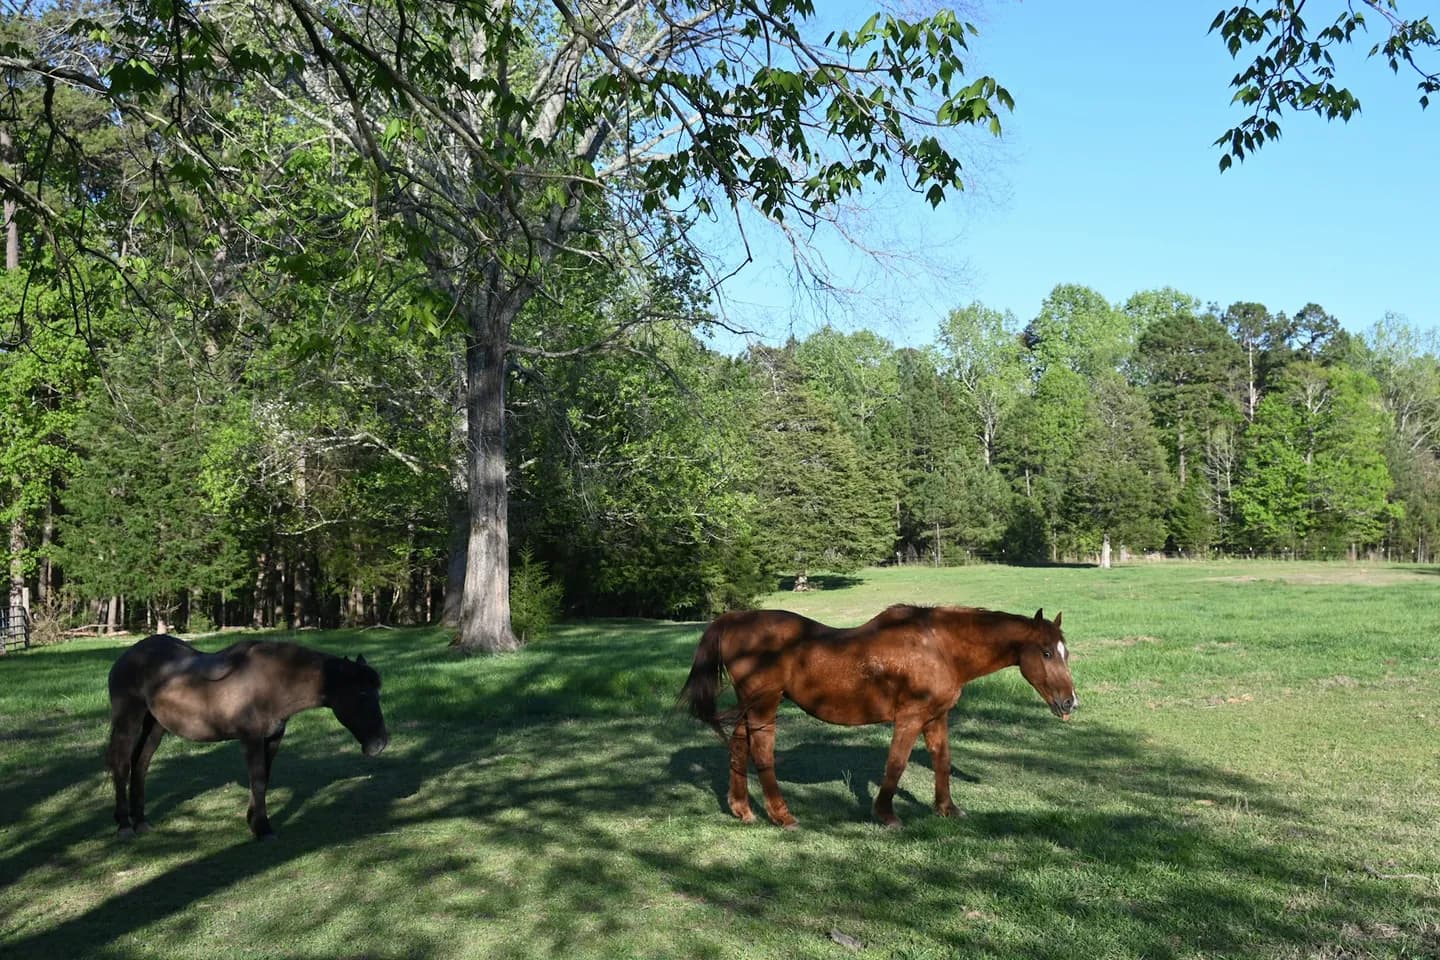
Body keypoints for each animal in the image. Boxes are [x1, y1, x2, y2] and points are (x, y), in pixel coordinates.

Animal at [105, 634, 389, 841]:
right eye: (362, 694)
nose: (379, 743)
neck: (274, 683)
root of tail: (127, 656)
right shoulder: (251, 739)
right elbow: (259, 780)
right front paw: (263, 828)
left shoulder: (273, 738)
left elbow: (263, 778)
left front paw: (253, 821)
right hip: (128, 721)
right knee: (122, 765)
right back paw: (124, 825)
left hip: (156, 727)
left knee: (140, 765)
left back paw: (141, 822)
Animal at [679, 604, 1077, 829]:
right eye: (1045, 652)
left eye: (1064, 652)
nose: (1070, 703)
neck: (939, 647)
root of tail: (734, 619)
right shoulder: (911, 717)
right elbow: (896, 764)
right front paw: (886, 814)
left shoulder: (936, 718)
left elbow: (942, 762)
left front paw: (947, 809)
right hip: (765, 704)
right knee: (762, 751)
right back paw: (782, 816)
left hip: (750, 706)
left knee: (738, 746)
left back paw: (742, 810)